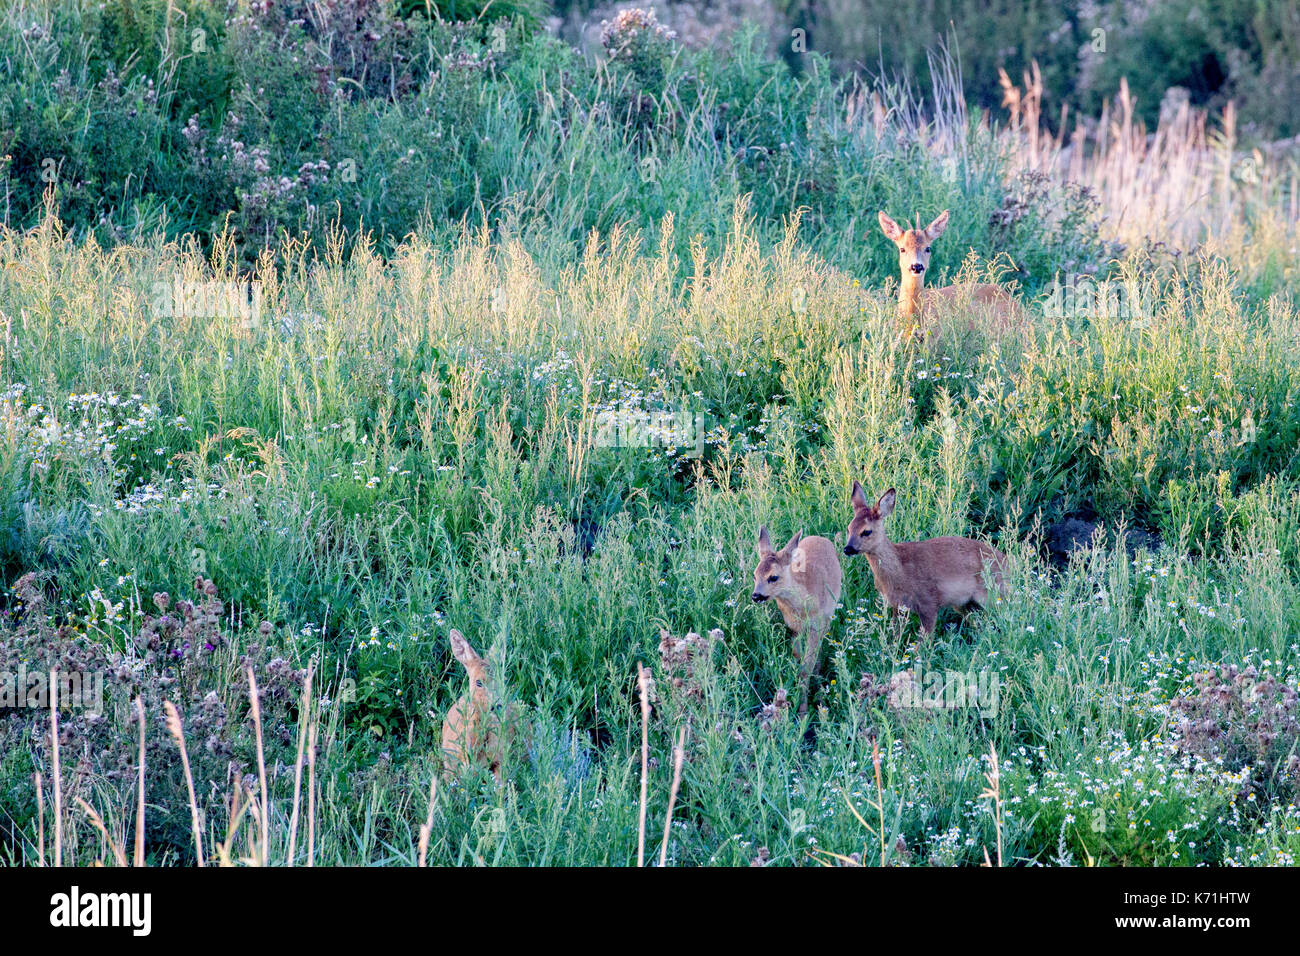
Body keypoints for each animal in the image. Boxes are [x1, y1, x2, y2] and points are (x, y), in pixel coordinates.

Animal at [751, 526, 843, 714]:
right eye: (754, 575)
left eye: (773, 577)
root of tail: (819, 537)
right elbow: (798, 660)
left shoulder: (817, 626)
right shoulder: (794, 627)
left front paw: (804, 712)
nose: (756, 596)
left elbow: (807, 667)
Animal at [843, 482, 1007, 635]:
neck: (900, 571)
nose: (848, 549)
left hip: (993, 596)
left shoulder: (929, 602)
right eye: (849, 528)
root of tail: (1007, 562)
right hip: (964, 604)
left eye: (866, 531)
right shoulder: (897, 606)